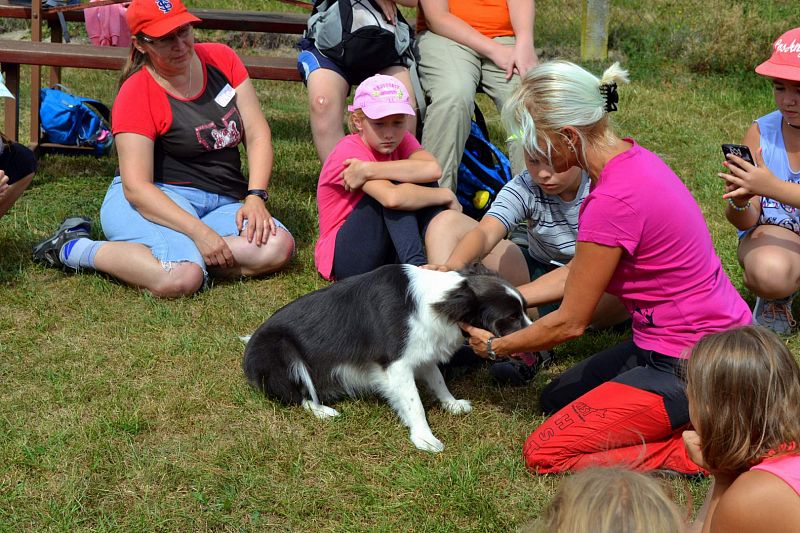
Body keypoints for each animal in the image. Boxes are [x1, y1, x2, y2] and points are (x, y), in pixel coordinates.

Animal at [244, 264, 532, 450]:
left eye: (524, 310)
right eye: (511, 317)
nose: (535, 338)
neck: (441, 300)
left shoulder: (421, 350)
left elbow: (438, 379)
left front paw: (451, 404)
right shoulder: (395, 363)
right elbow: (414, 402)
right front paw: (424, 438)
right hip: (282, 350)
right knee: (298, 395)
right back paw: (324, 411)